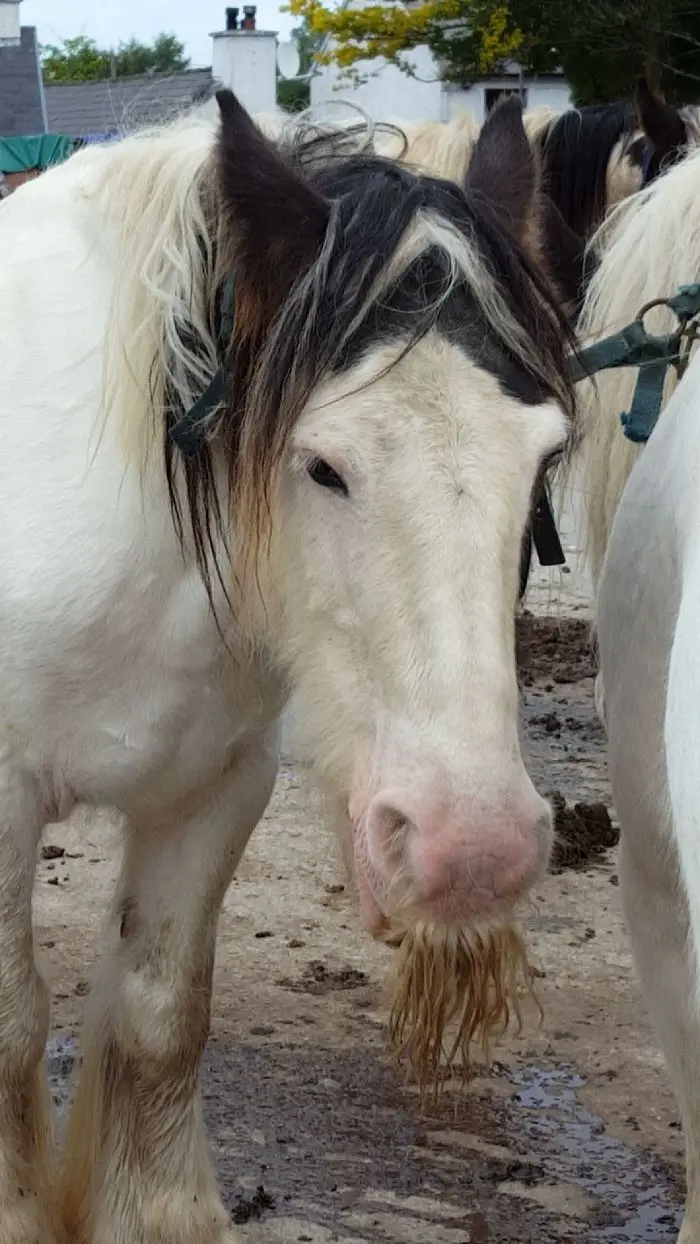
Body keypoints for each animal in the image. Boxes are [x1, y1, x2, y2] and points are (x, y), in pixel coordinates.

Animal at [0, 92, 574, 1239]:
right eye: (322, 466)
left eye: (544, 458)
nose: (472, 851)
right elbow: (8, 1030)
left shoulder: (216, 785)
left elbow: (162, 1015)